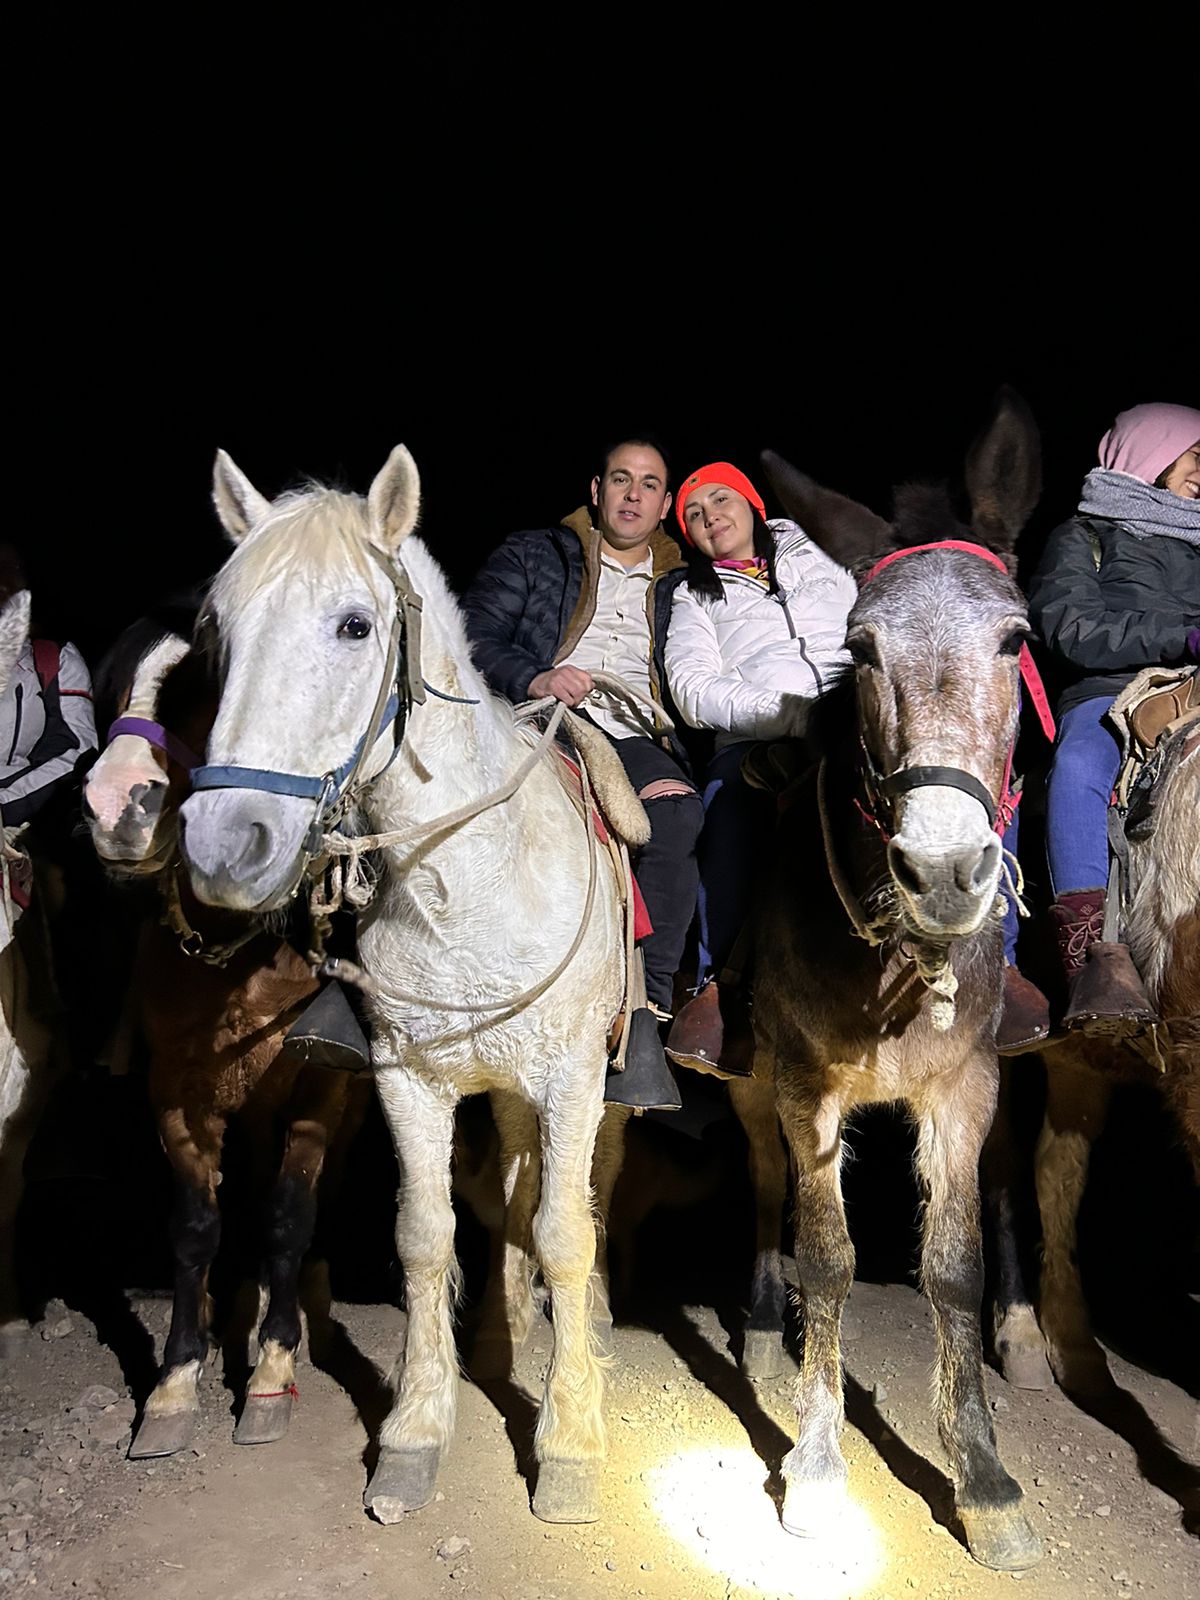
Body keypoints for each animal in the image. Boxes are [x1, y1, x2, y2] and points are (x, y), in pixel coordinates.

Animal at [182, 444, 633, 1516]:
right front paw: (417, 1433)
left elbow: (566, 1232)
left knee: (581, 1199)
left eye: (355, 624)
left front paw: (570, 1441)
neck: (465, 884)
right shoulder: (408, 1080)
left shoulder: (571, 1080)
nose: (223, 847)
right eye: (221, 632)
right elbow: (427, 1234)